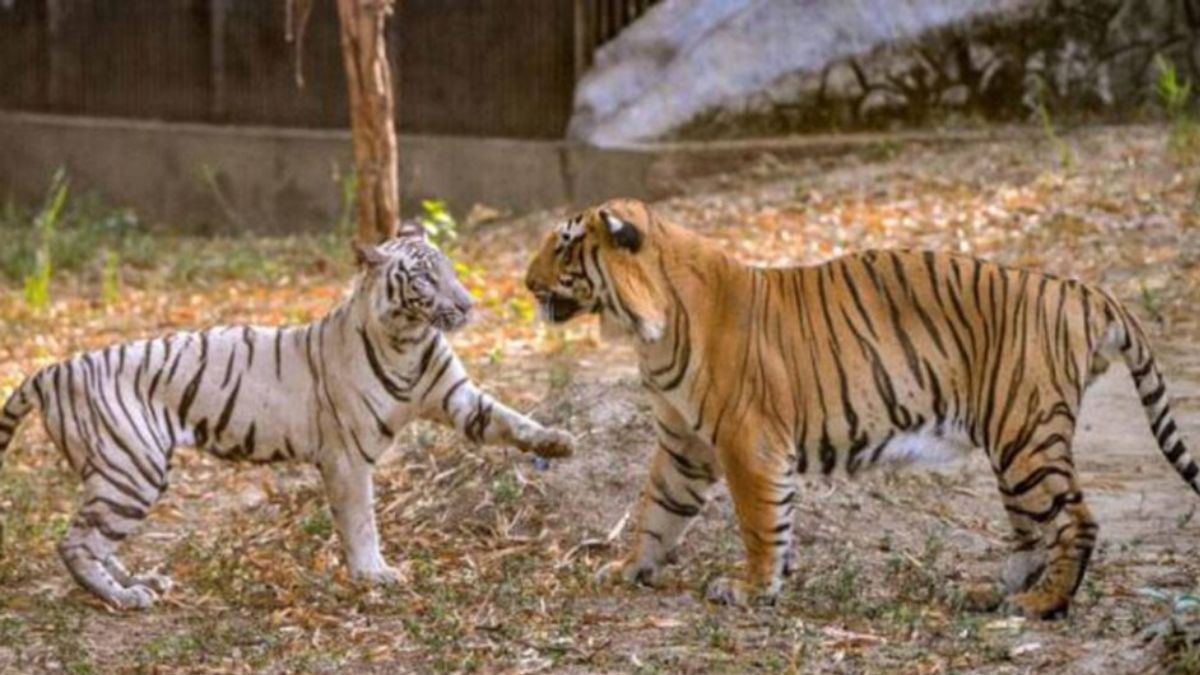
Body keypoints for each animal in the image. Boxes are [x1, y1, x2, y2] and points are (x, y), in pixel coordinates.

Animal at [0, 236, 574, 610]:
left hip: (126, 474)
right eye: (425, 278)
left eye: (449, 269)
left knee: (96, 540)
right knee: (75, 543)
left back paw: (139, 580)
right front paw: (374, 574)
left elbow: (508, 418)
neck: (409, 340)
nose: (467, 304)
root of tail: (55, 368)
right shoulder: (347, 455)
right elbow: (360, 521)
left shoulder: (457, 397)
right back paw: (124, 596)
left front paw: (558, 441)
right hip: (131, 469)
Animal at [524, 197, 1198, 619]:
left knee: (1076, 521)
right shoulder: (684, 446)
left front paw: (751, 589)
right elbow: (656, 510)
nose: (525, 283)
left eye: (565, 245)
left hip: (1025, 434)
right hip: (1014, 444)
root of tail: (1077, 288)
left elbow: (759, 523)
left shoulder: (748, 442)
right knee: (1033, 530)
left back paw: (1042, 605)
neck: (648, 329)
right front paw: (627, 569)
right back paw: (989, 594)